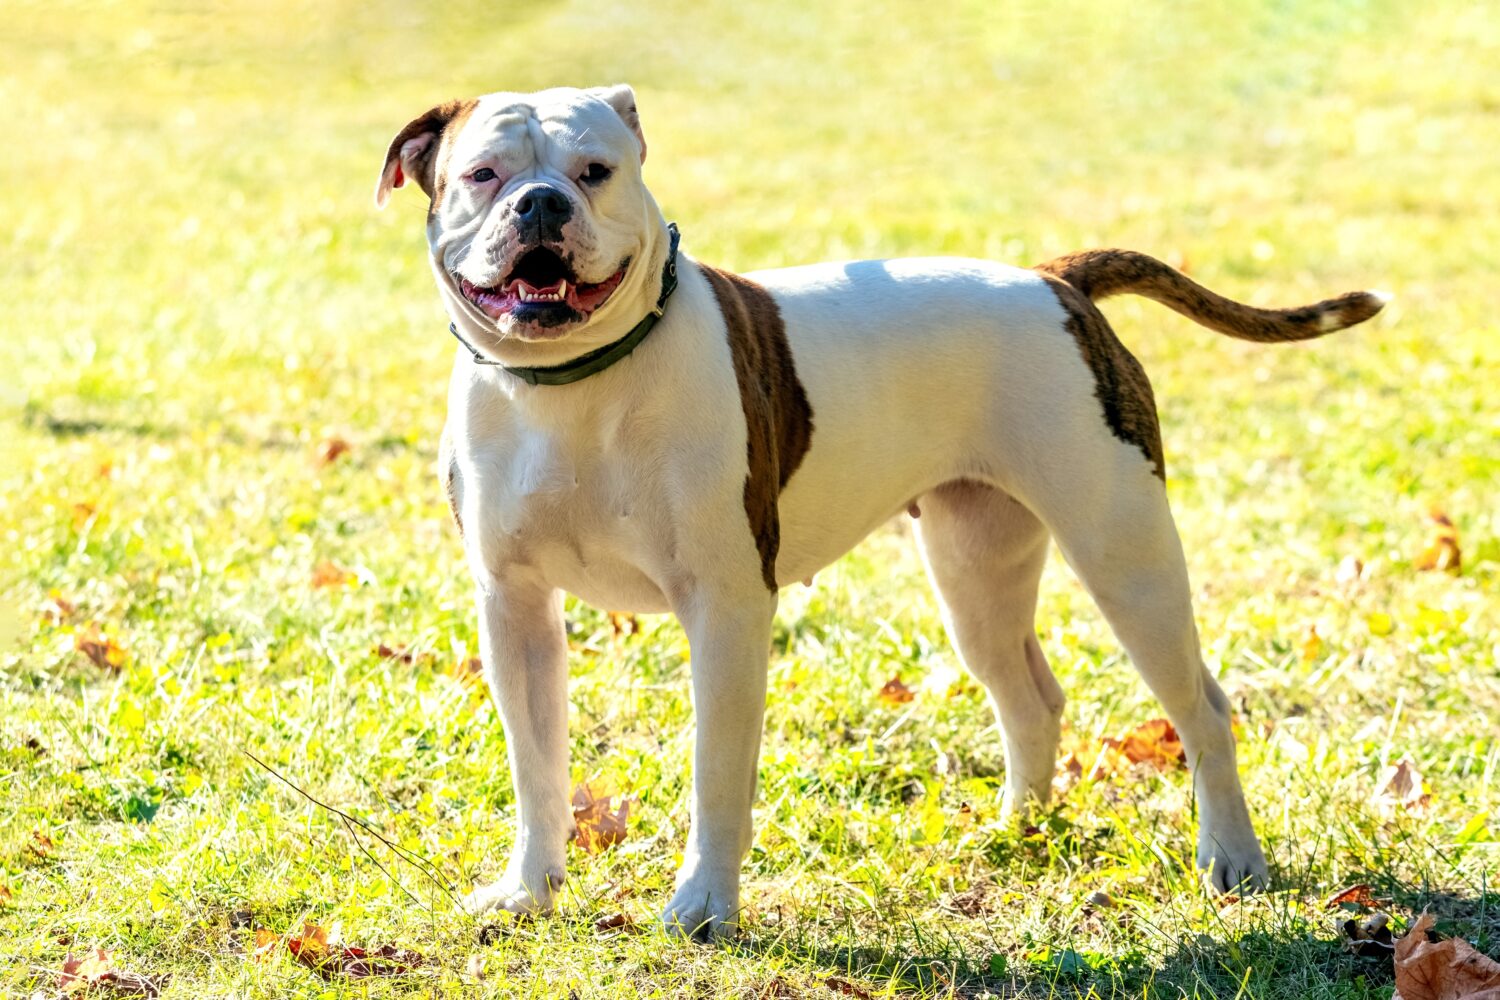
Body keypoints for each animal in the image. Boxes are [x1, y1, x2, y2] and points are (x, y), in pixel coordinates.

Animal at [375, 83, 1380, 941]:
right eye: (482, 174)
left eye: (595, 170)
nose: (541, 205)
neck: (572, 384)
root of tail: (1052, 281)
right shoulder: (514, 610)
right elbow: (536, 767)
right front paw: (529, 890)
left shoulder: (726, 610)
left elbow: (716, 774)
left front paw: (704, 906)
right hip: (977, 570)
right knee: (1030, 696)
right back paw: (1015, 832)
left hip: (1124, 554)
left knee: (1201, 707)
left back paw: (1232, 859)